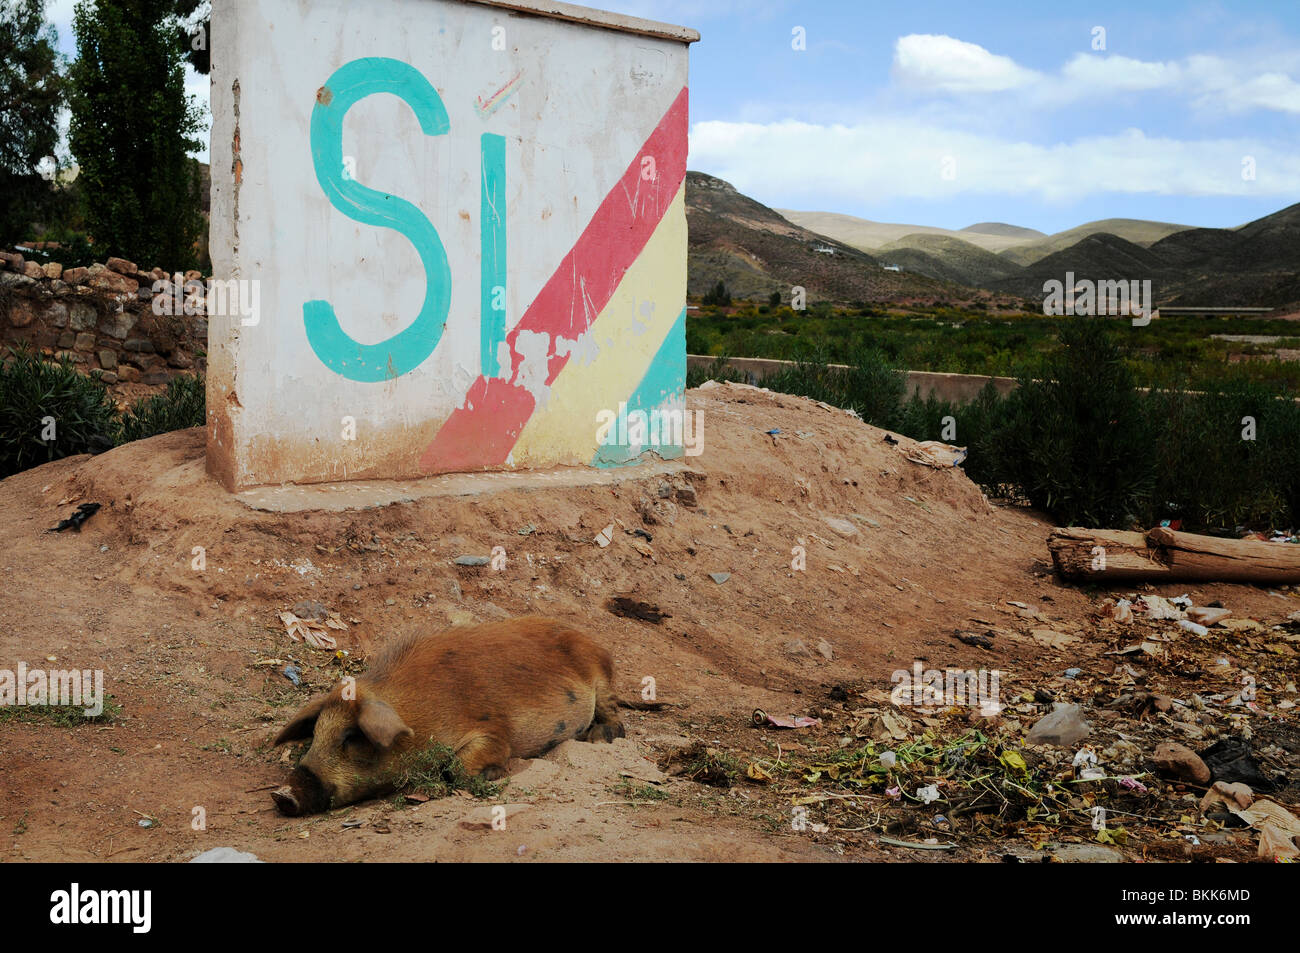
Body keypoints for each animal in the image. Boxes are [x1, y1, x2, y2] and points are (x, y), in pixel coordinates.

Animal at [269, 616, 624, 816]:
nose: (282, 794)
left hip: (602, 680)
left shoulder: (494, 731)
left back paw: (598, 737)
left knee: (615, 716)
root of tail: (594, 641)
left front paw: (490, 775)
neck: (417, 715)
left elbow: (462, 766)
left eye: (351, 737)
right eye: (316, 734)